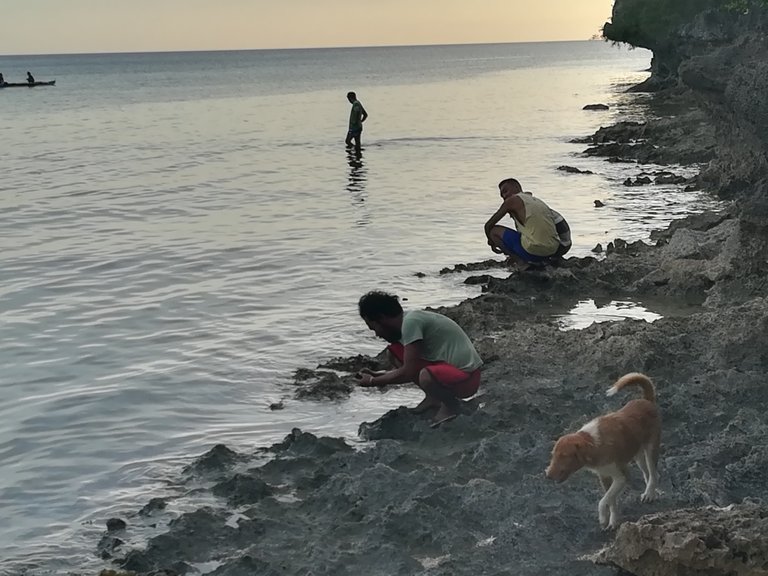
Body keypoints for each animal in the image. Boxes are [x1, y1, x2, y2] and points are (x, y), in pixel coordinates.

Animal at [544, 374, 660, 532]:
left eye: (564, 455)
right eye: (553, 454)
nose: (547, 475)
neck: (594, 442)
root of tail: (646, 400)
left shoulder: (621, 477)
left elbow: (603, 500)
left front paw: (603, 518)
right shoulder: (604, 476)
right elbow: (611, 500)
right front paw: (613, 521)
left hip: (651, 450)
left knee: (654, 473)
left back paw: (650, 493)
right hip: (637, 456)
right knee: (646, 473)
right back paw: (647, 492)